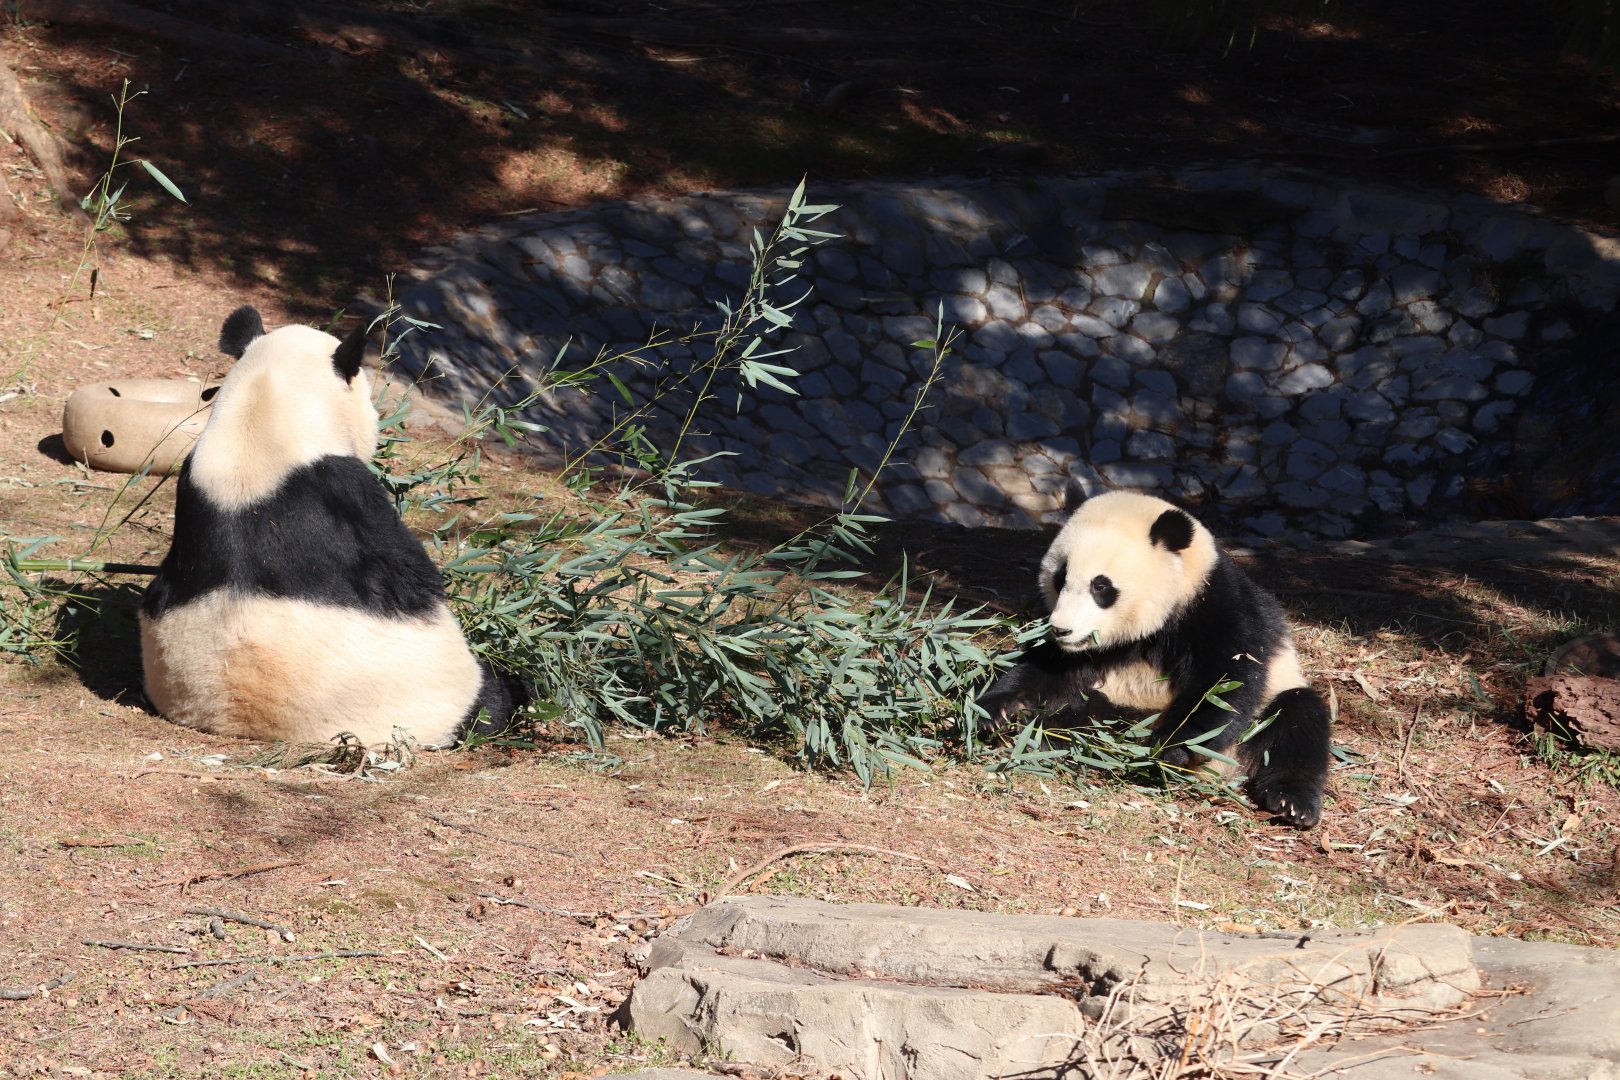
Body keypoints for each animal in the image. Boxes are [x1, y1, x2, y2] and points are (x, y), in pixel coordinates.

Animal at [138, 305, 520, 748]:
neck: (258, 419)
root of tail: (250, 722)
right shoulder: (353, 496)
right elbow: (415, 584)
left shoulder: (192, 482)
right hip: (437, 699)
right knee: (490, 701)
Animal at [977, 485, 1331, 828]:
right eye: (1060, 578)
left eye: (1101, 587)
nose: (1062, 629)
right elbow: (1045, 668)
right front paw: (996, 710)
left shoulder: (1216, 608)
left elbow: (1224, 683)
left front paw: (1173, 747)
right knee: (1087, 712)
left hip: (1266, 708)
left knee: (1298, 719)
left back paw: (1292, 802)